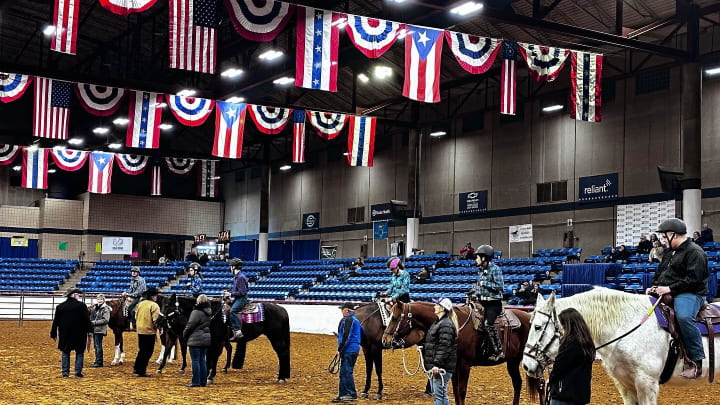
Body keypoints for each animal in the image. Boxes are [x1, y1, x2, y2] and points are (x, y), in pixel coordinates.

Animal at [383, 300, 543, 405]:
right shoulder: (454, 366)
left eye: (395, 317)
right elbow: (455, 391)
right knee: (517, 383)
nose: (385, 340)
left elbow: (461, 390)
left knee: (540, 385)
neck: (457, 325)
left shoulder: (465, 365)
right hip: (513, 361)